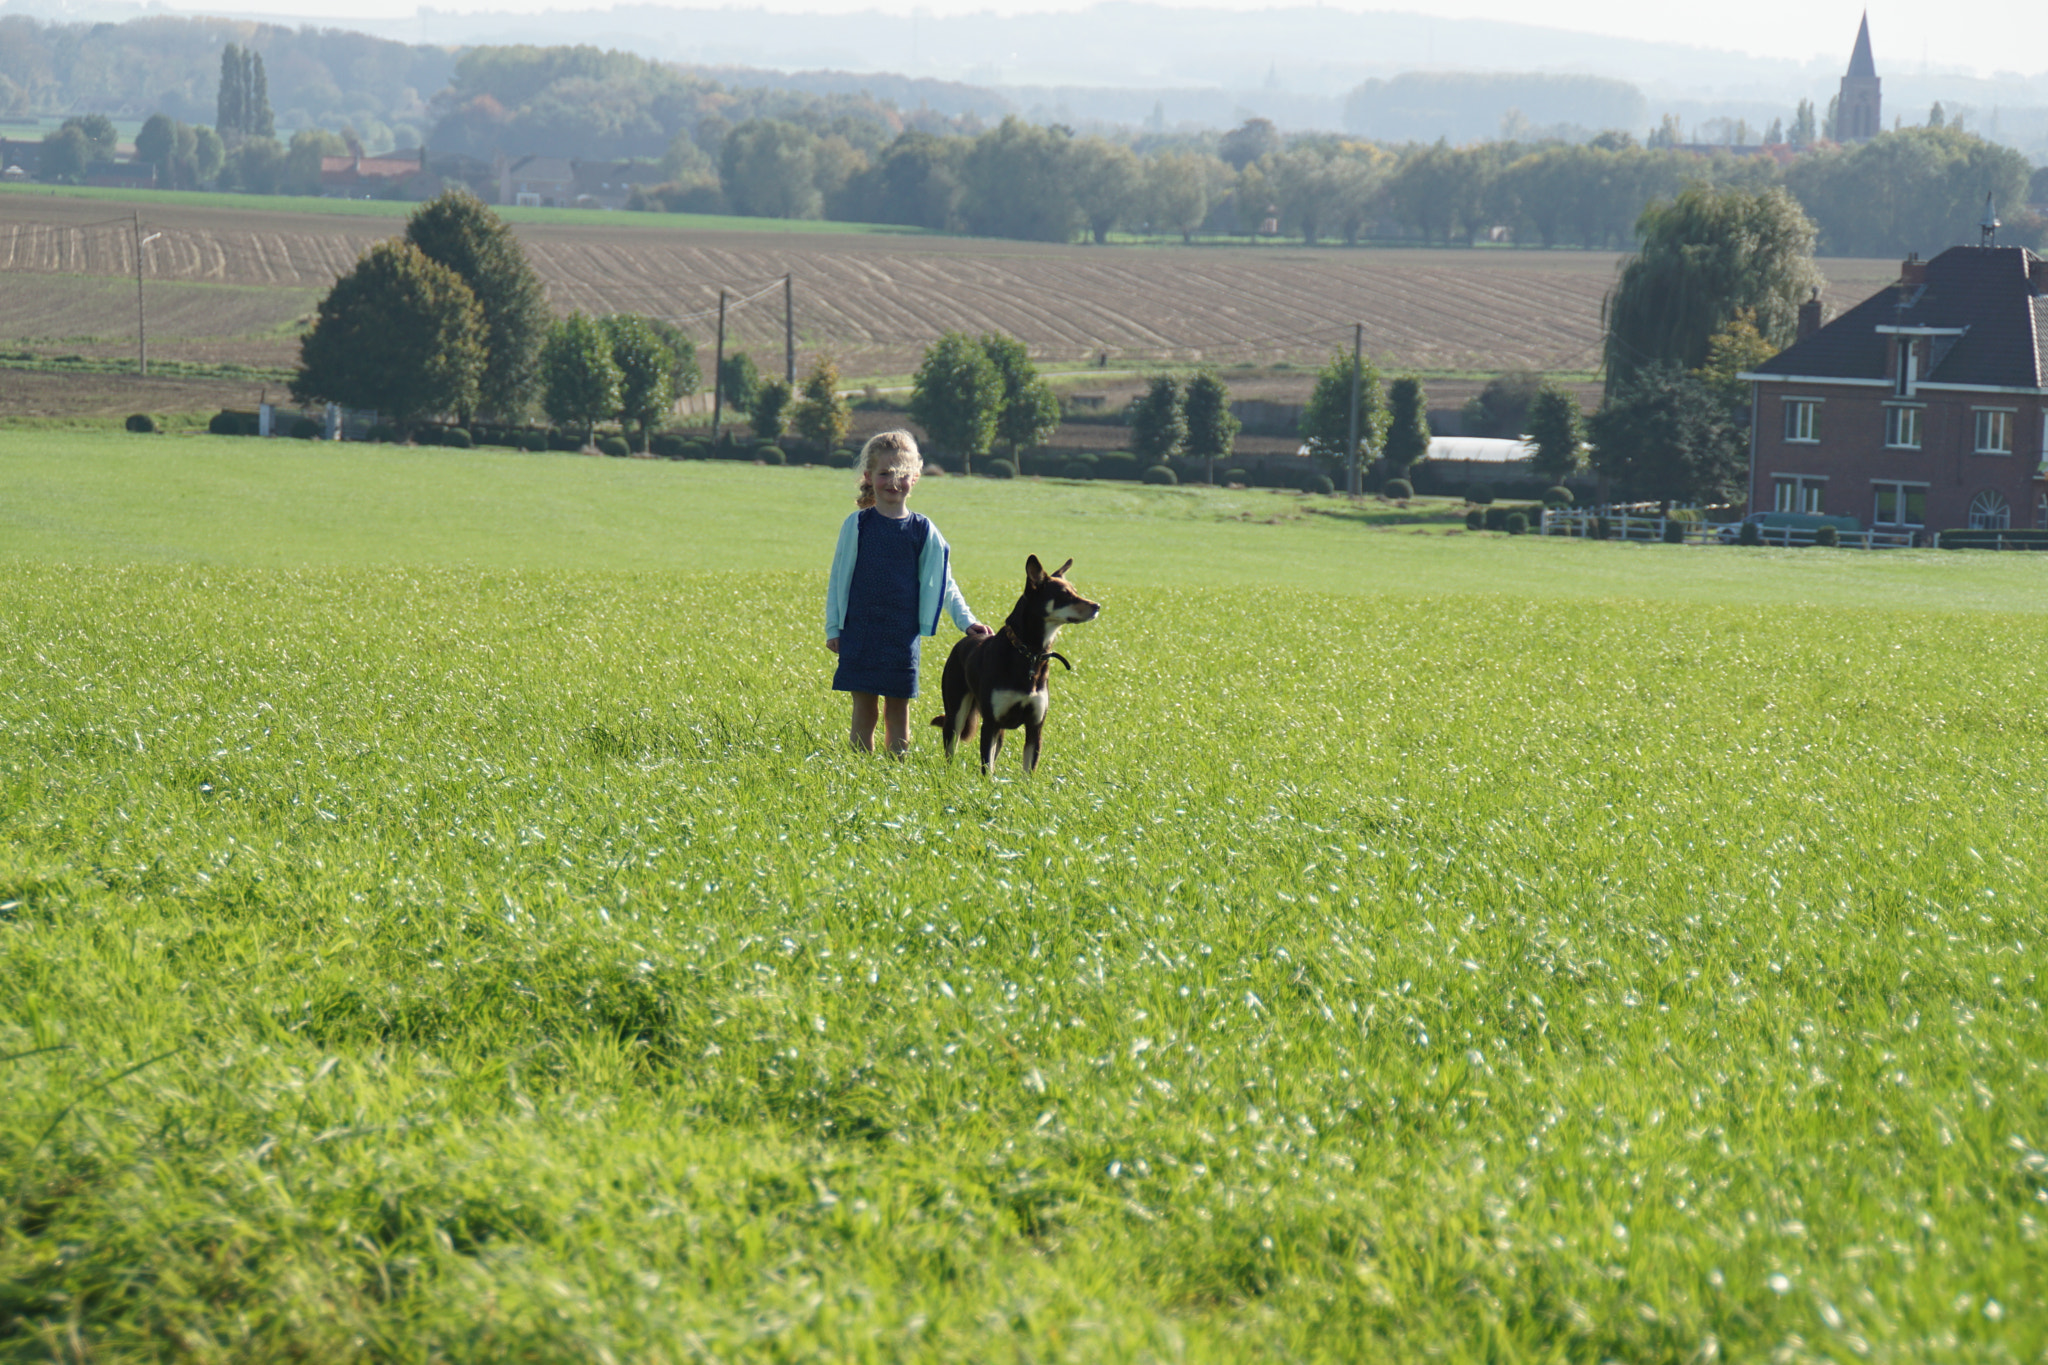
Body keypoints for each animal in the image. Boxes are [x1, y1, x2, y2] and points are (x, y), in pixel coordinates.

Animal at [937, 552, 1105, 769]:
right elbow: (987, 767)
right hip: (955, 713)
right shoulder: (990, 723)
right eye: (1065, 595)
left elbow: (1028, 769)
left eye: (1075, 591)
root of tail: (964, 641)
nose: (1097, 606)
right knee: (951, 750)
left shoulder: (1035, 726)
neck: (1030, 653)